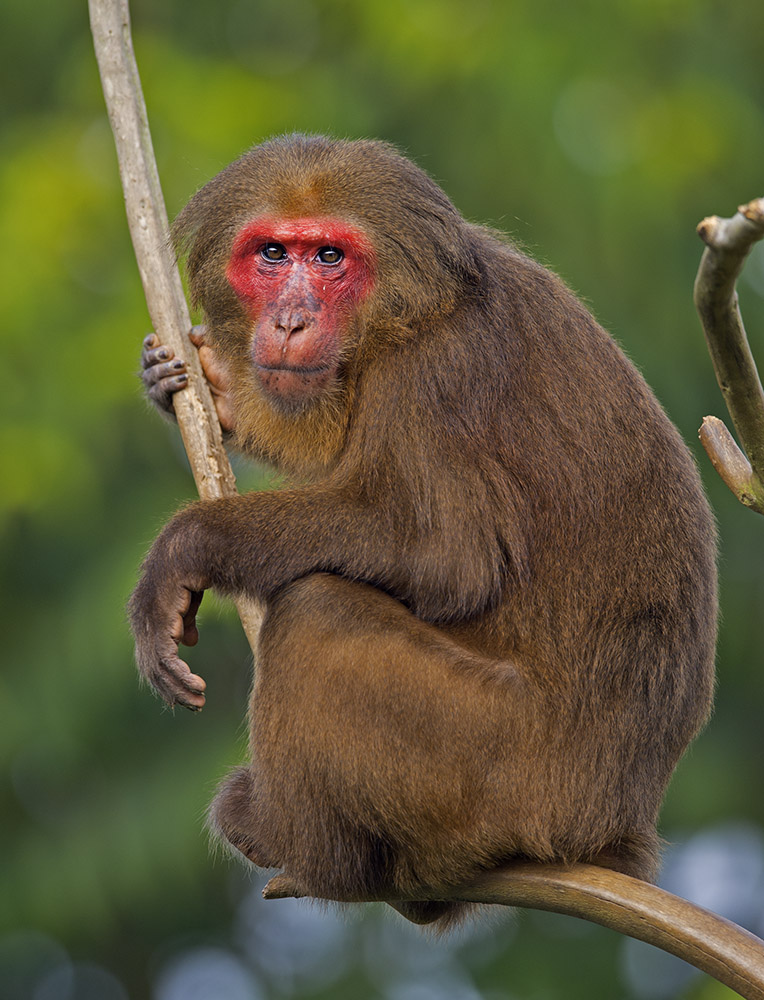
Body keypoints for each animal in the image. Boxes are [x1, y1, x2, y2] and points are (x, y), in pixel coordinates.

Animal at [133, 133, 716, 928]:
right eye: (273, 254)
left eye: (330, 258)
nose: (288, 322)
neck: (400, 315)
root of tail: (616, 828)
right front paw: (210, 389)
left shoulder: (437, 368)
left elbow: (447, 556)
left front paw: (186, 546)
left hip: (500, 766)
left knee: (317, 610)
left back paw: (300, 844)